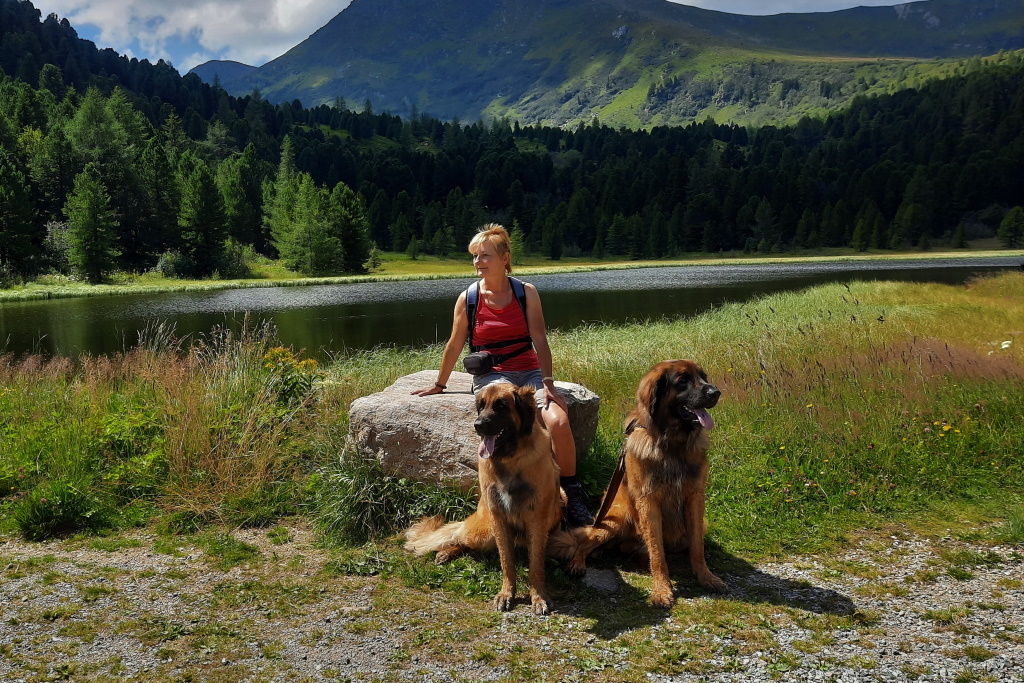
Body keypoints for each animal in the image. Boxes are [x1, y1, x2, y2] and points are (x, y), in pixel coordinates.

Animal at [403, 385, 565, 614]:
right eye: (481, 406)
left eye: (501, 406)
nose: (477, 426)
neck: (510, 460)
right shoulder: (499, 518)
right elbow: (507, 562)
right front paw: (506, 594)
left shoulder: (537, 520)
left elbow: (535, 564)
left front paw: (538, 596)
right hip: (484, 532)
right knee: (460, 537)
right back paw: (446, 552)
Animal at [557, 360, 724, 606]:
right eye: (683, 381)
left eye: (703, 377)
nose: (715, 392)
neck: (671, 445)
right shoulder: (648, 502)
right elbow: (657, 553)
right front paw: (662, 589)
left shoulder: (695, 498)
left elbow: (697, 547)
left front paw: (705, 576)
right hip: (616, 520)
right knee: (584, 542)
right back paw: (578, 563)